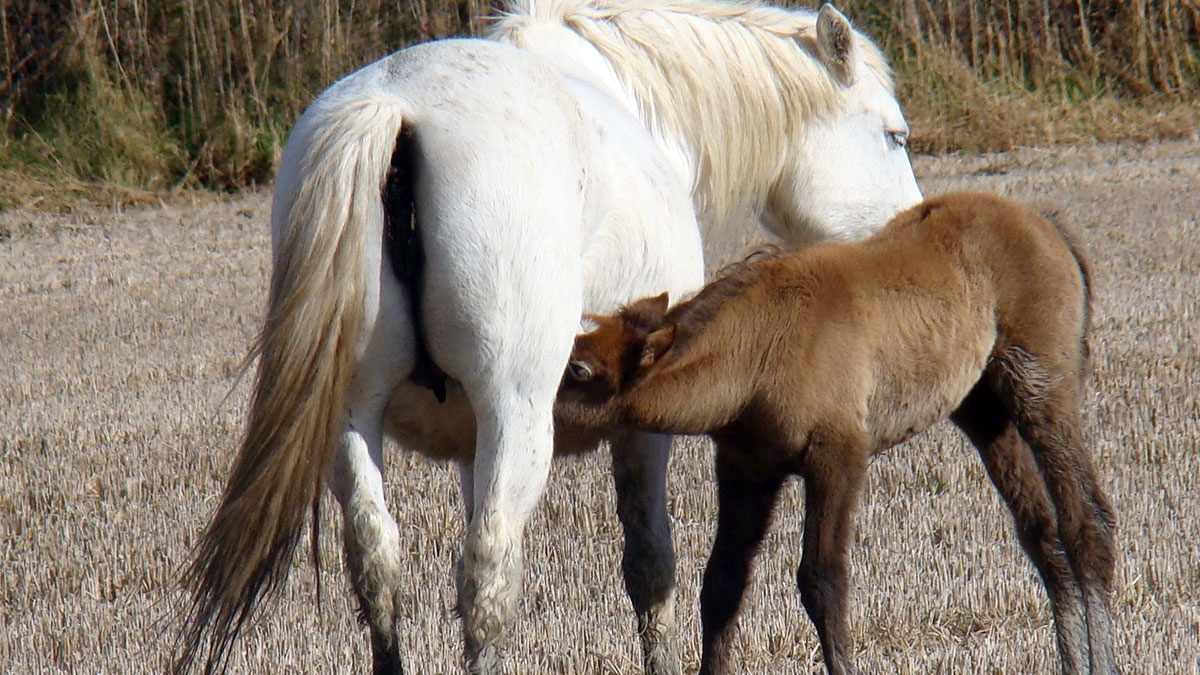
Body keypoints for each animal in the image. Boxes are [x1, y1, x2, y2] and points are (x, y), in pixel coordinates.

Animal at [171, 1, 916, 672]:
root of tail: (396, 110)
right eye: (894, 135)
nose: (910, 229)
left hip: (356, 414)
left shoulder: (470, 441)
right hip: (517, 414)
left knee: (378, 564)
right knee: (488, 577)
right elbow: (651, 566)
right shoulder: (642, 425)